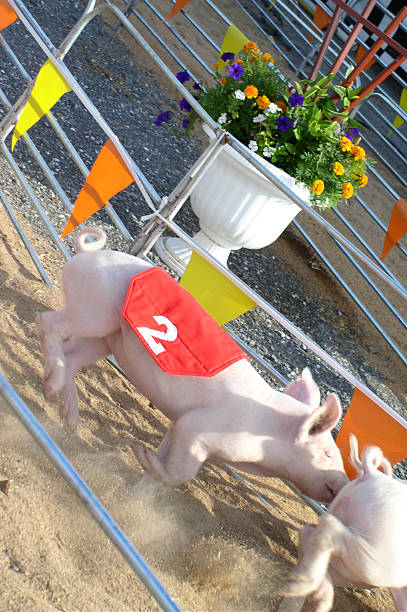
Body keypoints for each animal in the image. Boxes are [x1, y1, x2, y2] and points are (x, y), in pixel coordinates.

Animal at [36, 226, 350, 502]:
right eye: (328, 454)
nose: (344, 486)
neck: (265, 439)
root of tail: (85, 255)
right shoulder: (198, 429)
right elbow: (181, 473)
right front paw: (140, 452)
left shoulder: (180, 426)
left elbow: (165, 467)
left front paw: (138, 498)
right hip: (93, 313)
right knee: (48, 322)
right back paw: (52, 389)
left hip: (106, 337)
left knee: (72, 356)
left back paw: (70, 423)